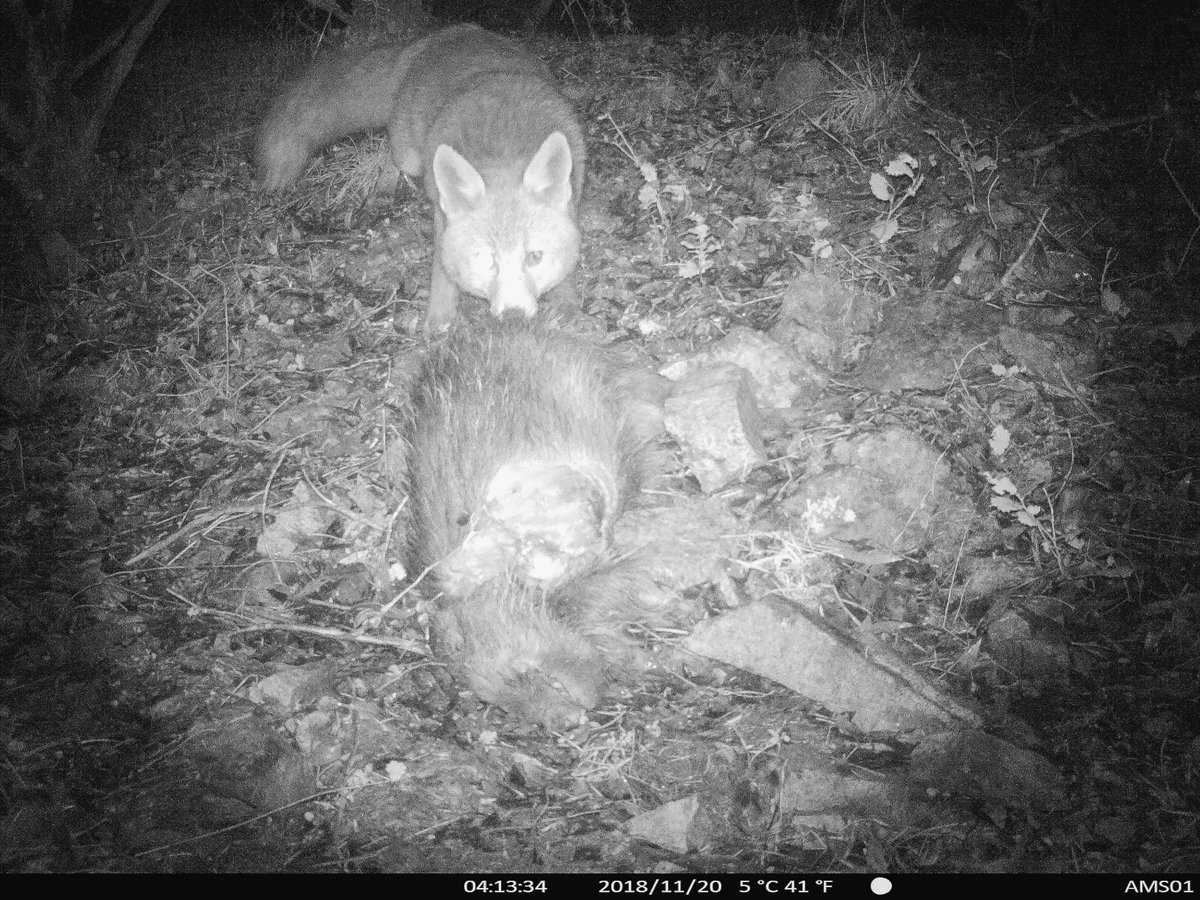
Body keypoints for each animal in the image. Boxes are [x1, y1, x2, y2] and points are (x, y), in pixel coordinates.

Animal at [255, 24, 586, 331]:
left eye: (534, 257)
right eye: (487, 260)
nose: (513, 316)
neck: (504, 146)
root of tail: (431, 38)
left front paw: (567, 304)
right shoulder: (442, 216)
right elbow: (442, 273)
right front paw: (440, 319)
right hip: (411, 157)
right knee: (395, 161)